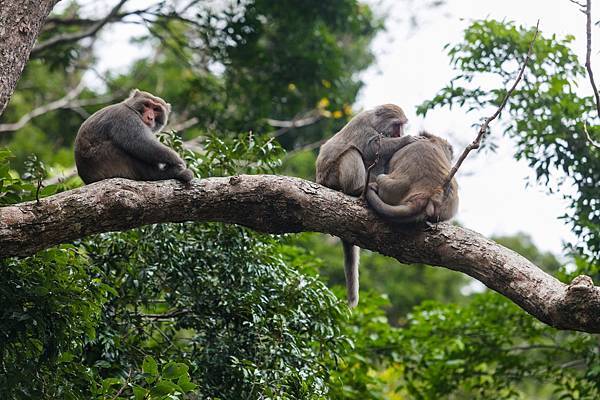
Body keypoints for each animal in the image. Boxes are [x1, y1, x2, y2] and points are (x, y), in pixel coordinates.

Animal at [316, 104, 420, 306]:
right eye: (397, 124)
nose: (401, 133)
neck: (374, 122)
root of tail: (321, 181)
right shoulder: (364, 127)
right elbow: (371, 148)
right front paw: (408, 139)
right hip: (333, 177)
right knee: (352, 152)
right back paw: (356, 189)